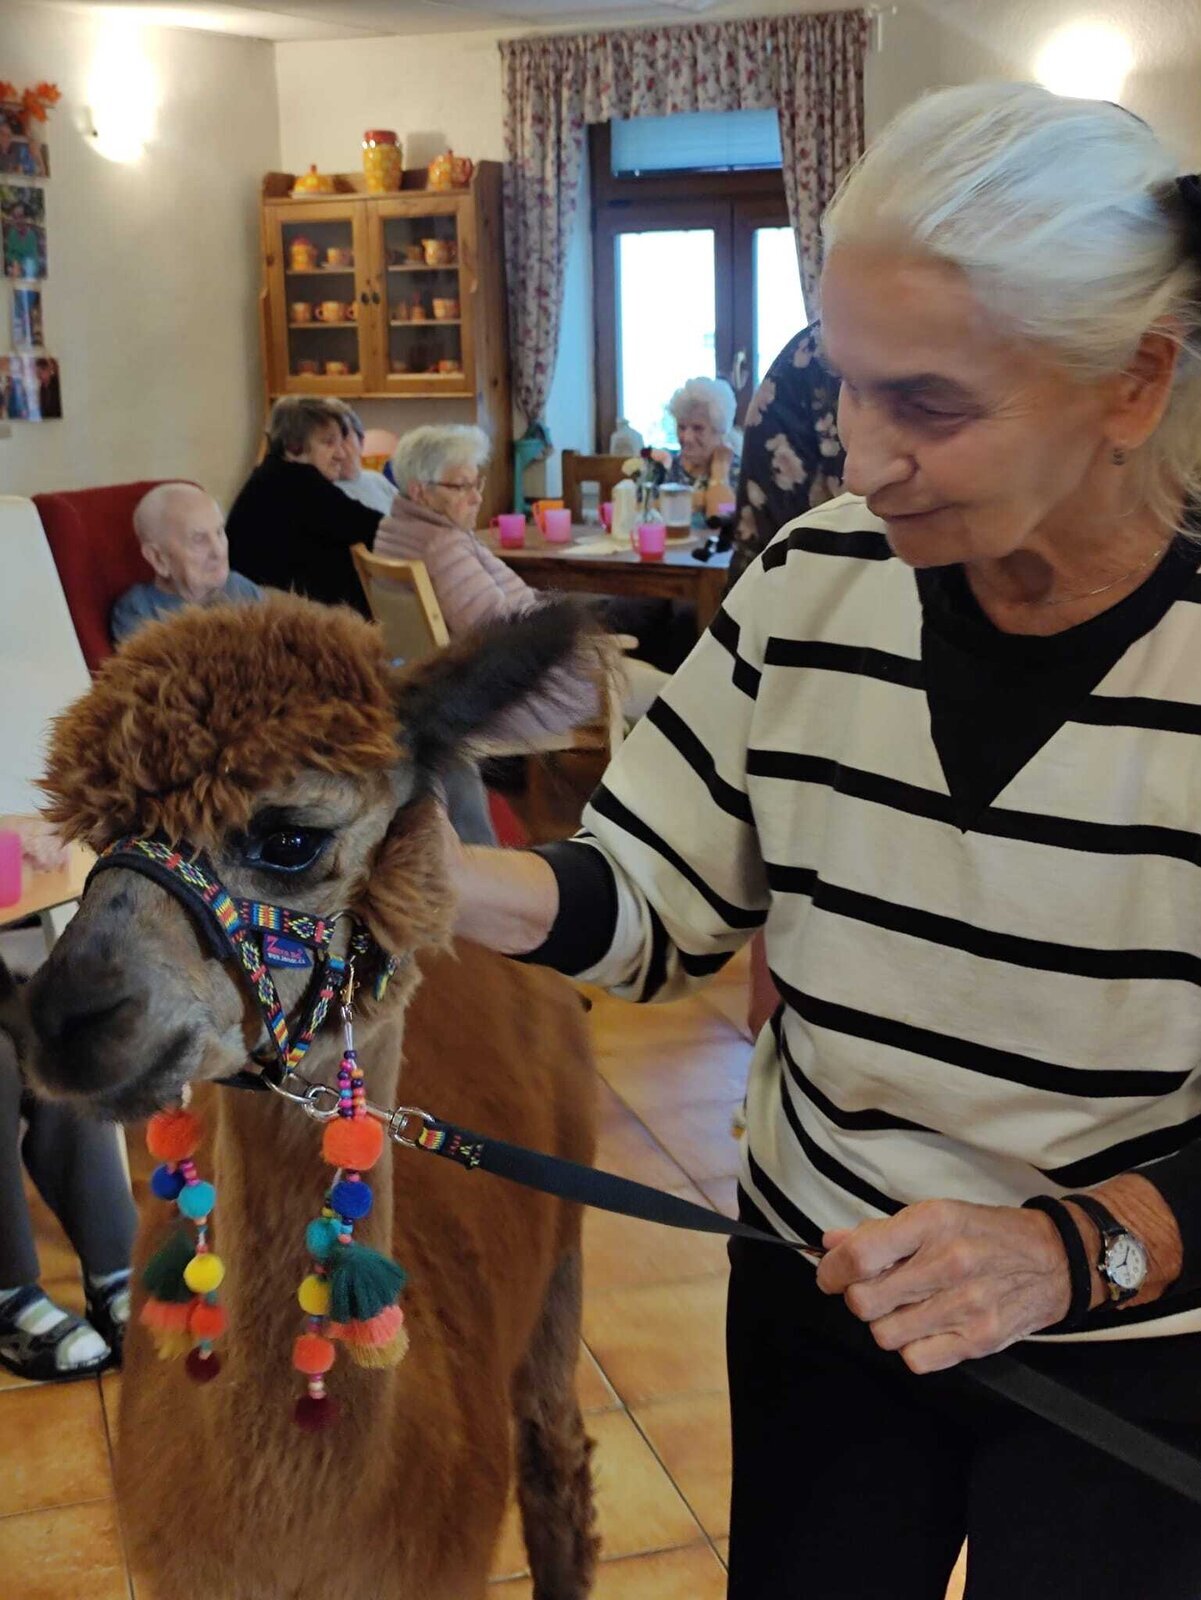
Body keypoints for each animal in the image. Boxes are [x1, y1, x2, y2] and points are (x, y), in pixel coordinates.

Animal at [11, 594, 602, 1600]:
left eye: (288, 838)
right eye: (100, 839)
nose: (64, 1016)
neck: (297, 1547)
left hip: (562, 1257)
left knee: (556, 1467)